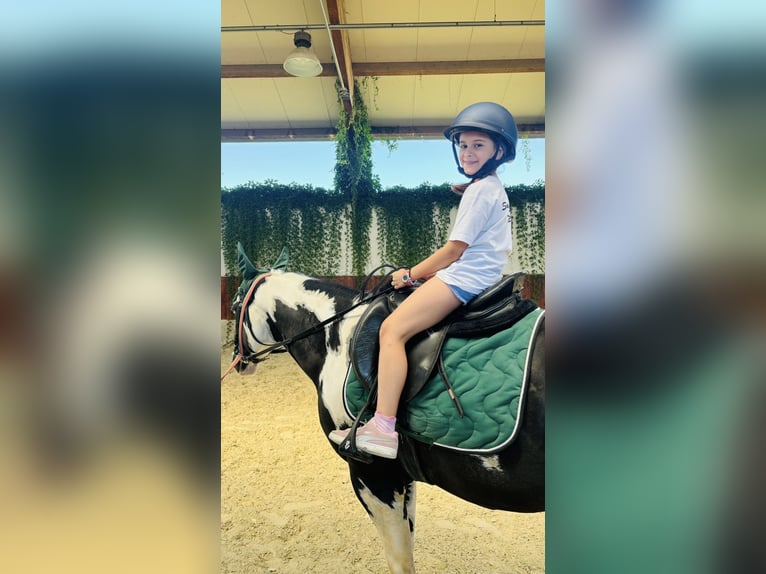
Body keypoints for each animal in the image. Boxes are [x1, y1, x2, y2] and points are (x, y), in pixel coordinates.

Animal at [225, 248, 544, 574]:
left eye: (235, 305)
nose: (238, 360)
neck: (337, 338)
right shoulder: (403, 476)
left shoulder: (372, 475)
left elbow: (399, 561)